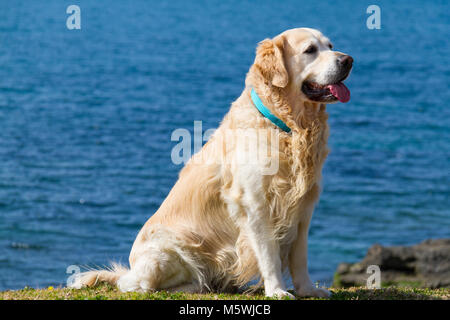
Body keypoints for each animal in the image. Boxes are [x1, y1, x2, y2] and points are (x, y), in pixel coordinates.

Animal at [73, 26, 352, 298]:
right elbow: (269, 254)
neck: (286, 126)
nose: (348, 60)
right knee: (136, 285)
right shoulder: (255, 204)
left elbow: (300, 256)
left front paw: (308, 290)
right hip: (168, 249)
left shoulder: (303, 205)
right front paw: (277, 291)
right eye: (310, 50)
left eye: (330, 45)